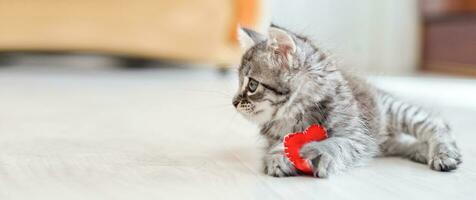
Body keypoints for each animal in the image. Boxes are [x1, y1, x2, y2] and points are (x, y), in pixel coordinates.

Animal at [232, 25, 462, 178]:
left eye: (252, 85)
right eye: (239, 82)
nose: (234, 102)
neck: (298, 114)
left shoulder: (357, 137)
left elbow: (335, 144)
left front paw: (314, 151)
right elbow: (279, 145)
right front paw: (278, 157)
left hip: (397, 111)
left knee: (436, 124)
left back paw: (444, 154)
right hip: (385, 141)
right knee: (407, 143)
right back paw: (423, 152)